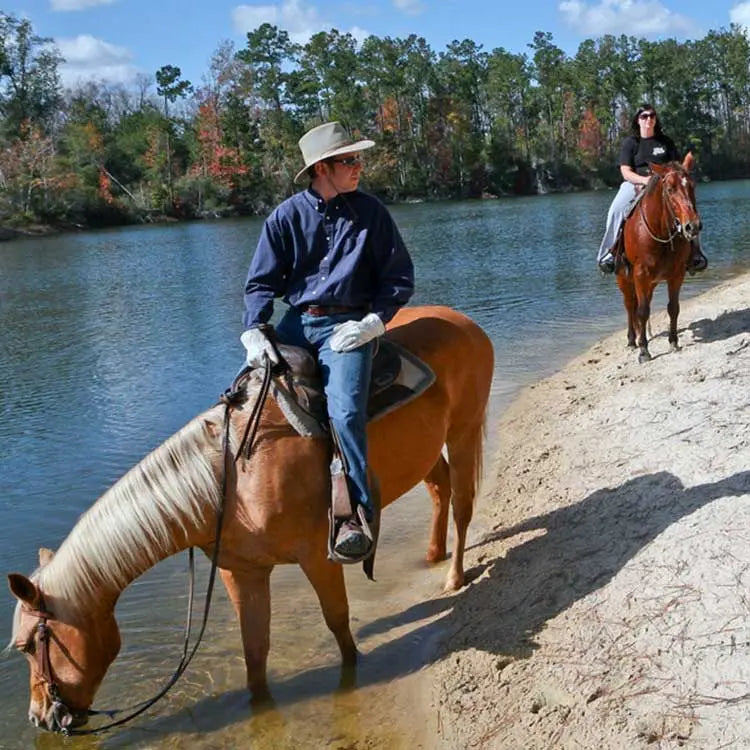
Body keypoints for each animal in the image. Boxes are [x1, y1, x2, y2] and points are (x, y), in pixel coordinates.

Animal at [8, 304, 496, 736]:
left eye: (30, 645)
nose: (40, 718)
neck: (230, 478)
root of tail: (461, 320)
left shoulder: (319, 556)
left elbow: (338, 624)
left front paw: (352, 673)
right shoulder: (241, 573)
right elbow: (255, 652)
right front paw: (259, 707)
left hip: (464, 429)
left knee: (463, 505)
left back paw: (453, 576)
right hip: (425, 453)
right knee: (440, 488)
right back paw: (432, 554)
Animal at [616, 151, 704, 362]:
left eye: (692, 185)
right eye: (670, 189)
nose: (692, 226)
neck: (661, 232)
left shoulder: (677, 274)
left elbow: (673, 307)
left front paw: (673, 342)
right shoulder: (640, 275)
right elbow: (641, 311)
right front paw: (644, 351)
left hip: (651, 283)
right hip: (625, 279)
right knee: (630, 306)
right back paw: (632, 340)